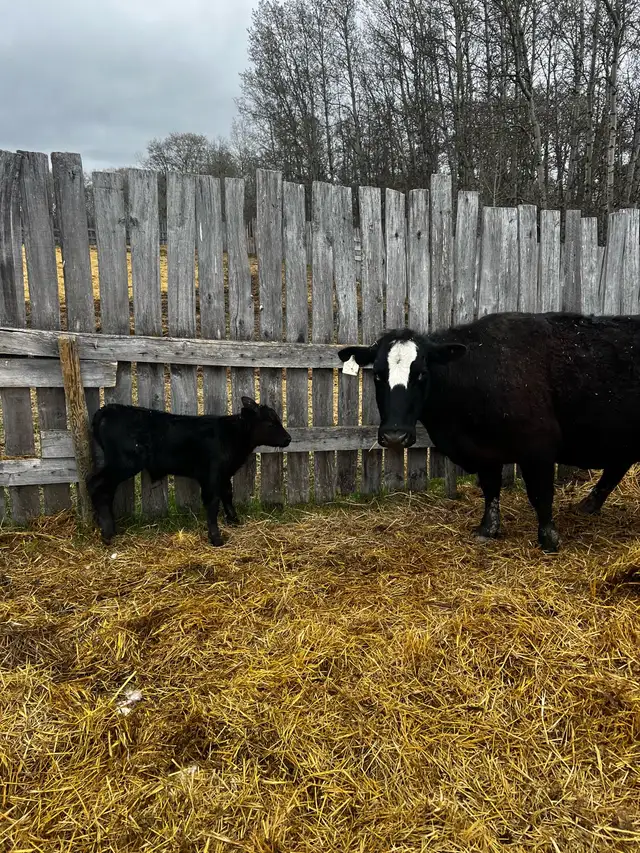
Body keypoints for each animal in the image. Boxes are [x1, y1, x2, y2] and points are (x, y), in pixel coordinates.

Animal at [86, 397, 291, 546]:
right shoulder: (211, 475)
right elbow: (213, 502)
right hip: (123, 463)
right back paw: (107, 533)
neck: (229, 436)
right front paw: (216, 537)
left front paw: (234, 520)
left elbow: (227, 494)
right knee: (97, 485)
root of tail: (107, 410)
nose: (288, 438)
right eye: (270, 423)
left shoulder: (223, 474)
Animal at [338, 312, 640, 552]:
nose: (394, 436)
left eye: (422, 373)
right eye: (378, 374)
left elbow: (541, 494)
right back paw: (588, 505)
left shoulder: (539, 447)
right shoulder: (483, 451)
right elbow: (490, 488)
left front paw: (548, 540)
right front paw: (488, 529)